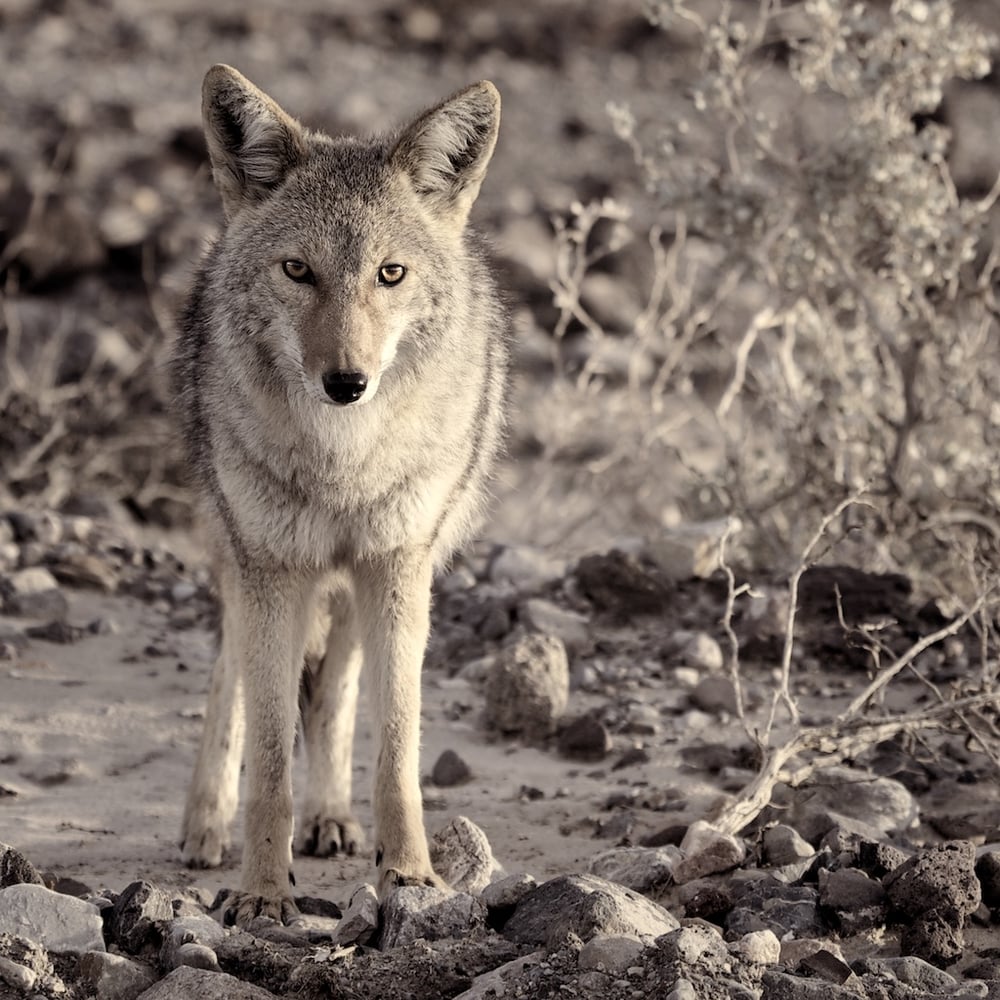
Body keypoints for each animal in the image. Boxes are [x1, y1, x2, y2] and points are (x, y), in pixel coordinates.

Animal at [171, 64, 508, 925]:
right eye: (298, 271)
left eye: (390, 273)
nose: (346, 382)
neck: (342, 462)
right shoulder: (270, 569)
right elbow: (267, 756)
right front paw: (261, 892)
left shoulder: (397, 564)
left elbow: (393, 747)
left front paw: (412, 877)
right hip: (240, 558)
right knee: (230, 678)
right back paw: (205, 823)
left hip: (359, 580)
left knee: (334, 693)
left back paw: (330, 818)